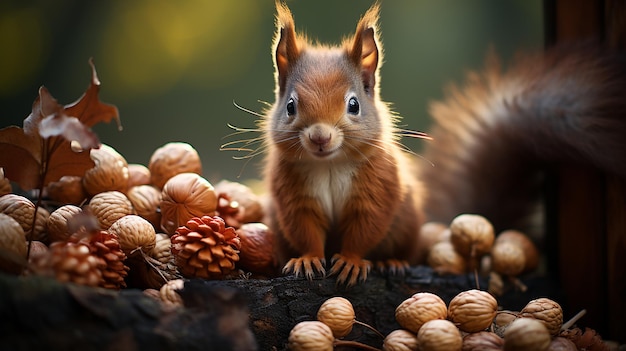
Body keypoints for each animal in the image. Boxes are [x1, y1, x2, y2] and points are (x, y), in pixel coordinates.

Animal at [255, 2, 624, 286]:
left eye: (354, 105)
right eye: (290, 106)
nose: (320, 137)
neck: (330, 164)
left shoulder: (378, 187)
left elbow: (365, 226)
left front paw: (351, 260)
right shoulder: (293, 194)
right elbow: (305, 228)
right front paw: (308, 258)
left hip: (406, 226)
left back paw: (391, 263)